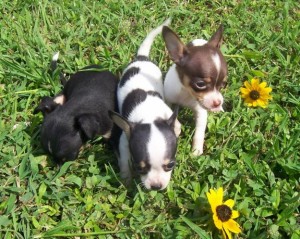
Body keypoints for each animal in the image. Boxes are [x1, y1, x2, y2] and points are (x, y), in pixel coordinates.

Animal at [109, 19, 180, 190]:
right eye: (139, 167)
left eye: (171, 165)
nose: (156, 186)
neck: (150, 116)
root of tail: (141, 57)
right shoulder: (124, 140)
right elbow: (124, 161)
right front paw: (126, 179)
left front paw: (177, 129)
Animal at [162, 25, 227, 157]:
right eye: (200, 84)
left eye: (223, 85)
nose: (217, 102)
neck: (186, 92)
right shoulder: (169, 100)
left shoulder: (200, 111)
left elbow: (199, 132)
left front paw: (196, 151)